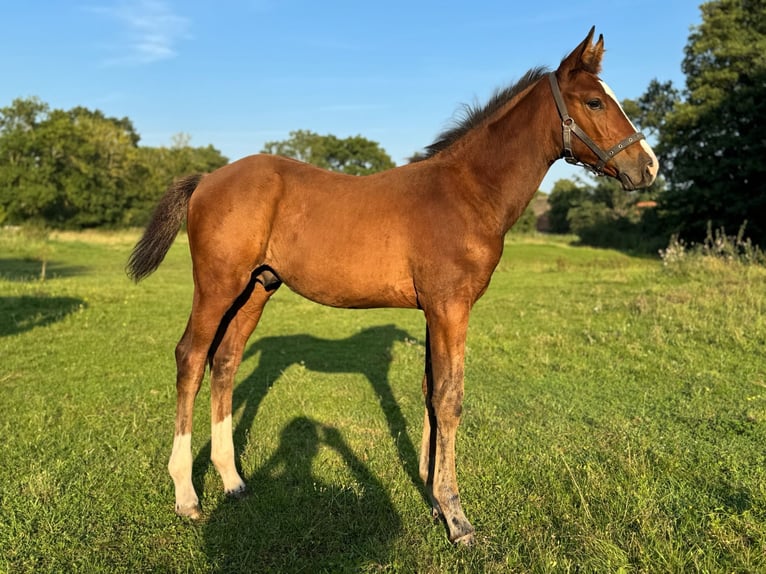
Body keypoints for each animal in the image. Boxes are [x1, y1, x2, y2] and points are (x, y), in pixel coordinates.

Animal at [127, 27, 657, 545]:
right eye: (595, 102)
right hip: (217, 286)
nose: (648, 167)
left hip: (257, 288)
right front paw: (456, 515)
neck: (467, 191)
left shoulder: (434, 310)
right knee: (191, 358)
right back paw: (187, 495)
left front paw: (431, 491)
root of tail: (208, 178)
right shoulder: (451, 307)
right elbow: (449, 397)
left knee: (225, 362)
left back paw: (233, 480)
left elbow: (429, 391)